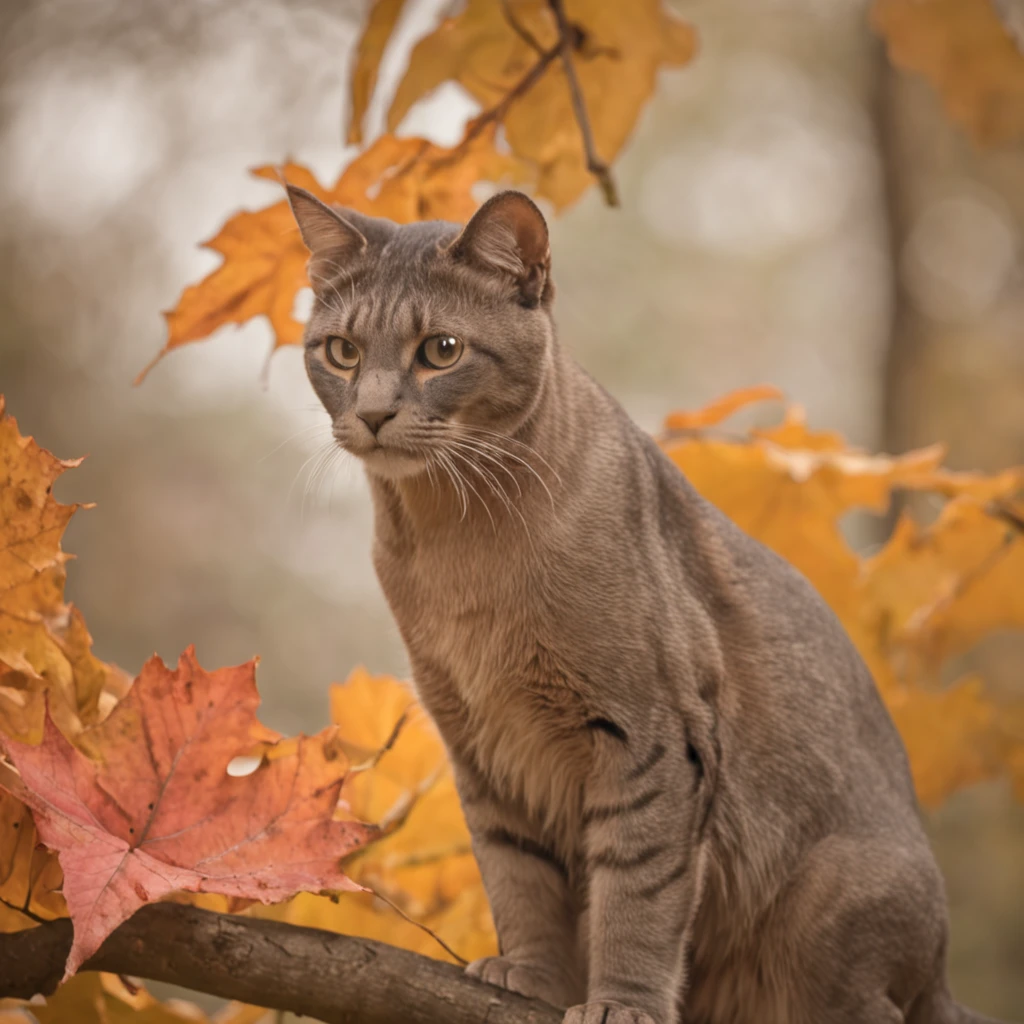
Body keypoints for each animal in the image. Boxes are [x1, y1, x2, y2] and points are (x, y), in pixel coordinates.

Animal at [284, 186, 1003, 1024]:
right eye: (341, 352)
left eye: (441, 349)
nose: (371, 414)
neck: (455, 543)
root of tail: (943, 975)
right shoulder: (482, 744)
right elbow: (516, 874)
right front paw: (530, 972)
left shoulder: (652, 732)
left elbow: (638, 889)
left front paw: (621, 1002)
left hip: (828, 912)